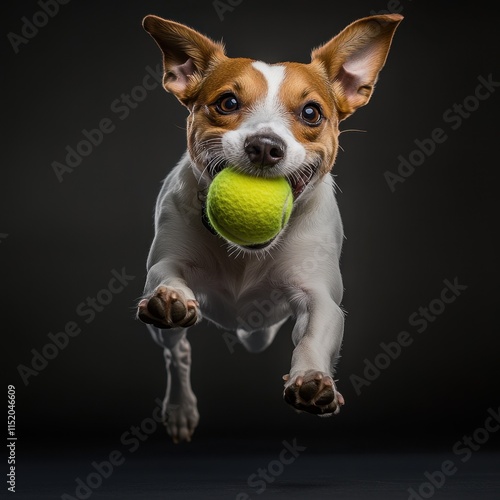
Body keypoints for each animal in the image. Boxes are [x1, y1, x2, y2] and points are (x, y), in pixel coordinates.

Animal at [137, 12, 402, 442]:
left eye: (311, 113)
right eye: (227, 102)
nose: (264, 145)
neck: (247, 254)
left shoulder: (320, 299)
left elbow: (312, 336)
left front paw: (311, 379)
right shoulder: (165, 262)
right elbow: (167, 277)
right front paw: (172, 296)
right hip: (167, 332)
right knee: (178, 352)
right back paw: (180, 407)